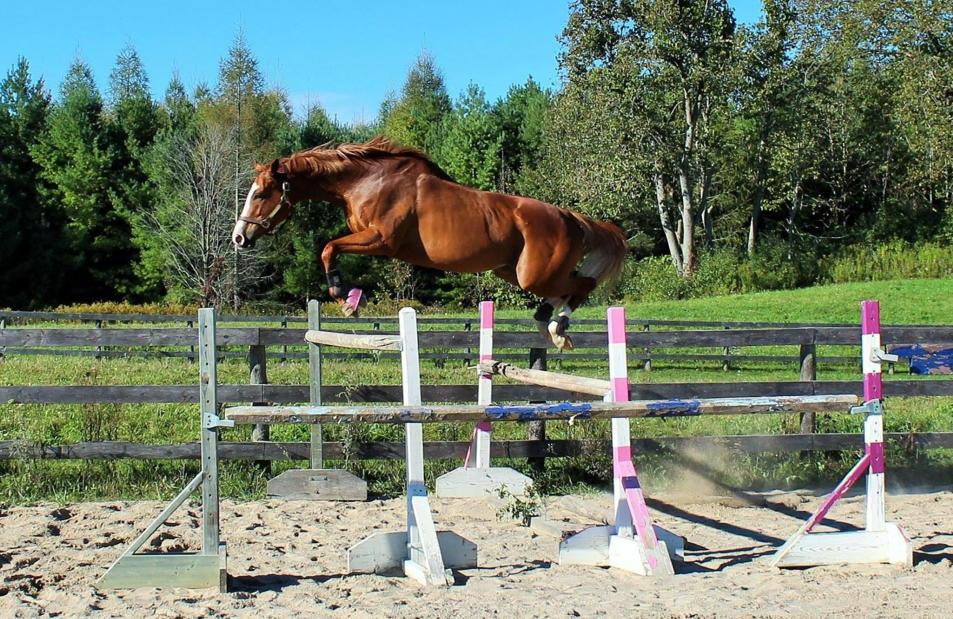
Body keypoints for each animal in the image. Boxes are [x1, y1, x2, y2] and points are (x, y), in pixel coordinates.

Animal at [232, 137, 627, 350]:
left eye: (262, 194)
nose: (239, 237)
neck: (365, 181)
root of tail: (572, 218)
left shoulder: (382, 240)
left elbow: (329, 248)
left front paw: (344, 298)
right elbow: (332, 248)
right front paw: (350, 299)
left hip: (535, 274)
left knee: (583, 284)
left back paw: (558, 329)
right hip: (512, 272)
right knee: (566, 290)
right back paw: (550, 326)